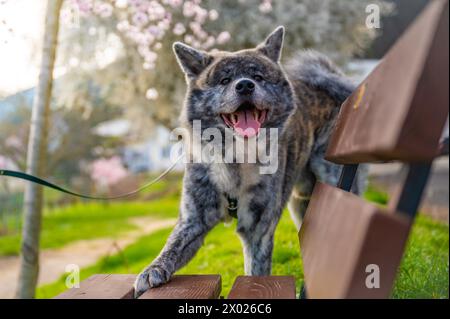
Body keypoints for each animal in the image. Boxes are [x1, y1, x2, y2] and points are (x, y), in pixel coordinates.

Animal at [134, 25, 366, 298]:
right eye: (224, 80)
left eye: (258, 76)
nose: (245, 85)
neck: (237, 158)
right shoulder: (194, 220)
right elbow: (172, 246)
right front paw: (152, 270)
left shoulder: (258, 230)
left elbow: (255, 270)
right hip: (301, 200)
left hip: (332, 178)